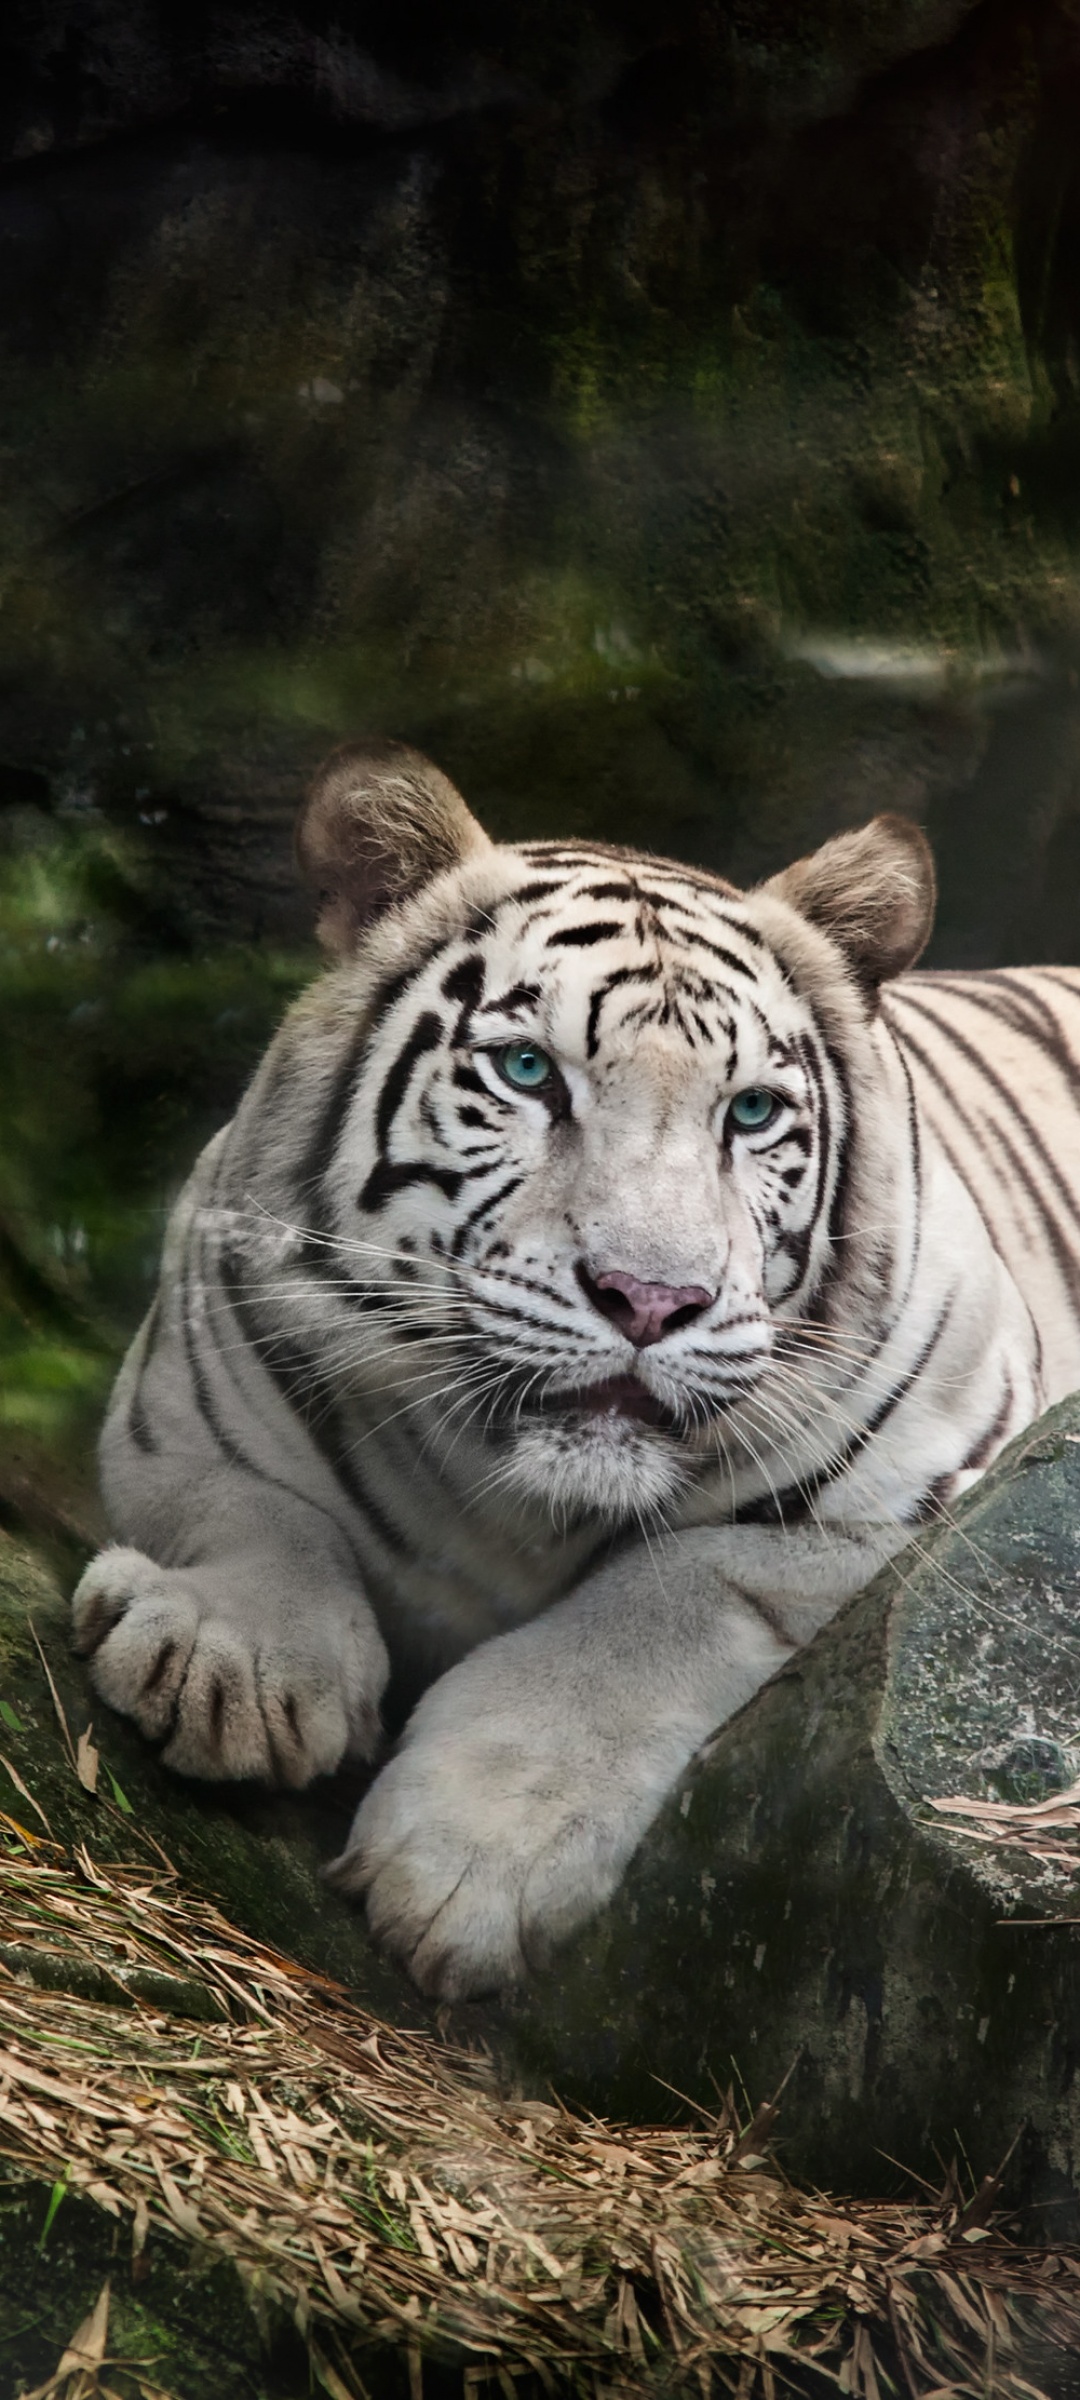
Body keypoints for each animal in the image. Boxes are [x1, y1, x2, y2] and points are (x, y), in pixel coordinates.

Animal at [71, 739, 1080, 1996]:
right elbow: (255, 1507)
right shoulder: (179, 1399)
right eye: (525, 1071)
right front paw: (226, 1657)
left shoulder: (939, 1492)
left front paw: (465, 1858)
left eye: (752, 1112)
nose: (651, 1299)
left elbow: (674, 1586)